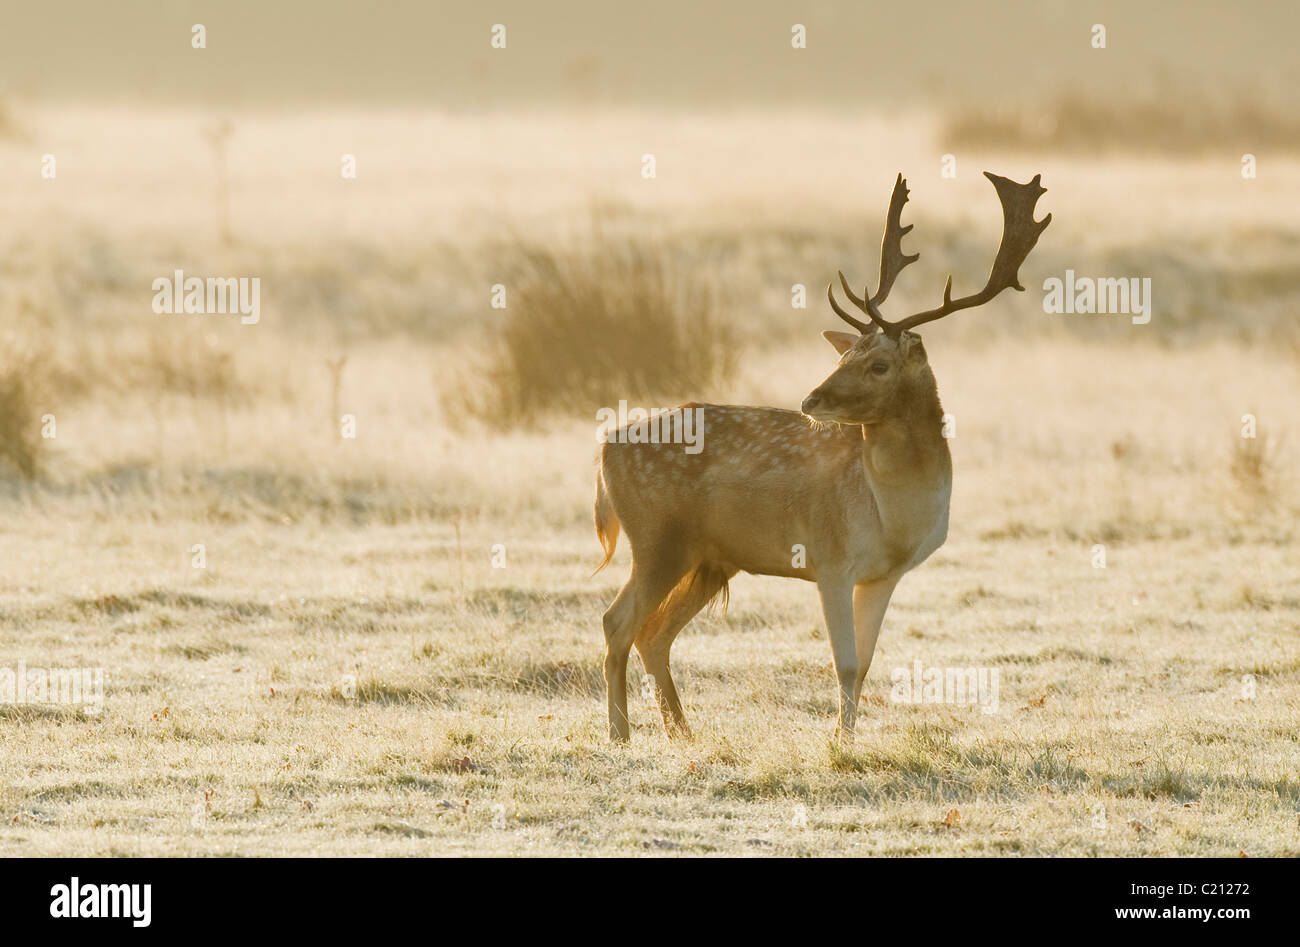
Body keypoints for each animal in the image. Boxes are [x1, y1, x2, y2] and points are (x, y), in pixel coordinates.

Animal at [595, 174, 1050, 744]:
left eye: (878, 365)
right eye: (844, 355)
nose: (811, 399)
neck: (893, 513)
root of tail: (606, 446)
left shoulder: (883, 575)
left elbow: (867, 662)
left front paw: (847, 737)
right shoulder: (831, 557)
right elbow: (846, 662)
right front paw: (840, 742)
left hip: (709, 557)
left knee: (653, 633)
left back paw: (683, 732)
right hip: (658, 539)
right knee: (617, 622)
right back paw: (620, 734)